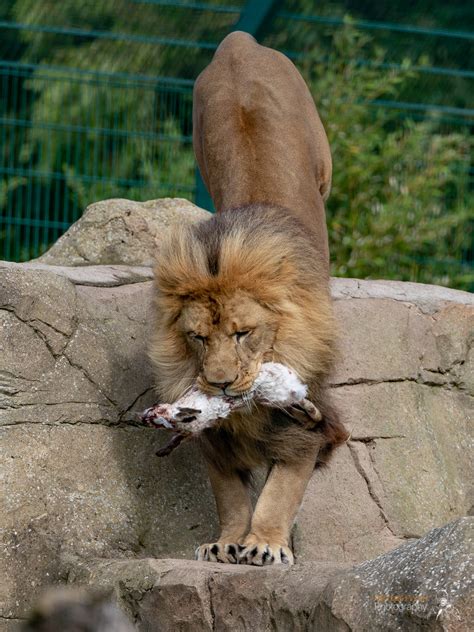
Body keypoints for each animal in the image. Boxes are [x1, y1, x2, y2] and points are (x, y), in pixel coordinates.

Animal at [148, 32, 348, 564]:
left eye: (243, 333)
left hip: (322, 158)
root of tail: (240, 43)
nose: (218, 385)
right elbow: (230, 493)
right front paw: (227, 541)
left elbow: (280, 491)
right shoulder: (213, 440)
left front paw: (264, 545)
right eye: (197, 337)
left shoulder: (306, 427)